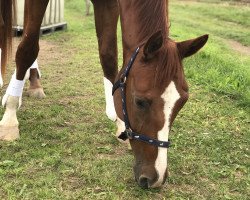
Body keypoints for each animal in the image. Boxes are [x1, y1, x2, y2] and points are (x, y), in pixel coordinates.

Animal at [0, 0, 208, 188]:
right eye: (139, 101)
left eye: (182, 102)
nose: (155, 178)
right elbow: (27, 49)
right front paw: (10, 117)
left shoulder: (108, 4)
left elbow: (108, 56)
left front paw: (120, 123)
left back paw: (33, 83)